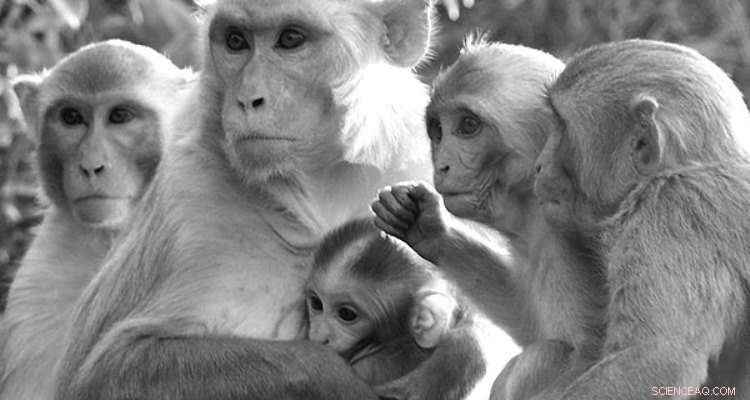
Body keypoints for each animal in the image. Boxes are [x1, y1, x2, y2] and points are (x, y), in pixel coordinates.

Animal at [52, 1, 441, 399]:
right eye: (236, 41)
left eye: (291, 39)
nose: (247, 99)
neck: (320, 197)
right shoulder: (190, 208)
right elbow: (106, 371)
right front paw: (331, 376)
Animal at [371, 41, 607, 400]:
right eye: (437, 131)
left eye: (468, 126)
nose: (442, 165)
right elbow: (528, 324)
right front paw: (429, 229)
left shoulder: (564, 238)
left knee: (544, 357)